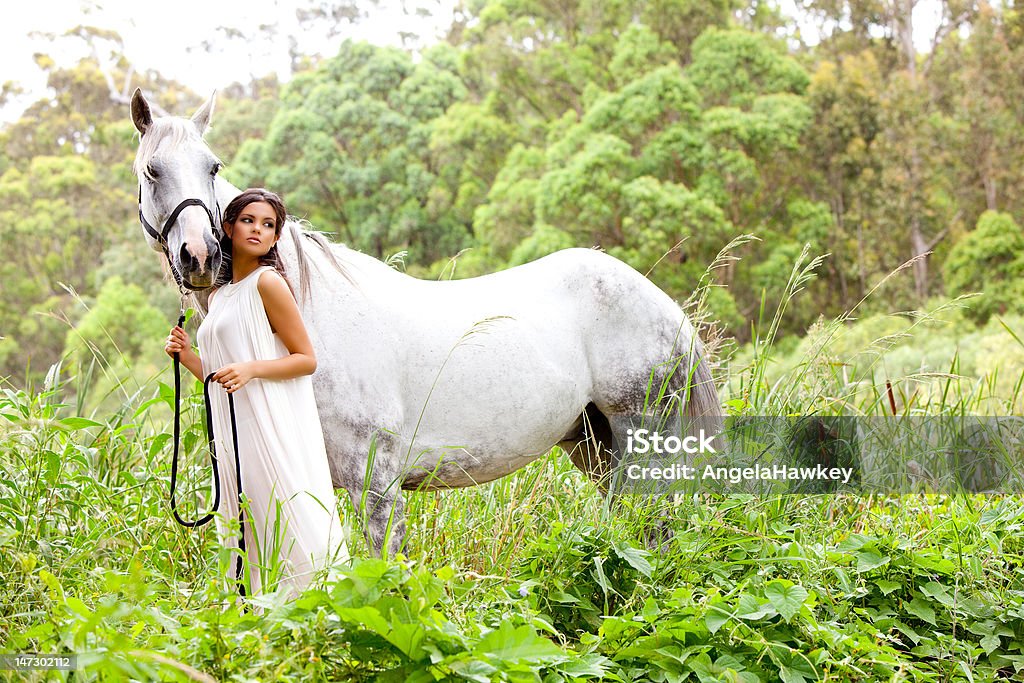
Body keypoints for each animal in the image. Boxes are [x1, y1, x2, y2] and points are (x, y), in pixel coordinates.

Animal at [130, 89, 720, 557]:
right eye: (151, 170)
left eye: (213, 167)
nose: (201, 256)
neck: (305, 316)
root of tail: (665, 308)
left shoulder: (376, 485)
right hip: (594, 445)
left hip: (640, 438)